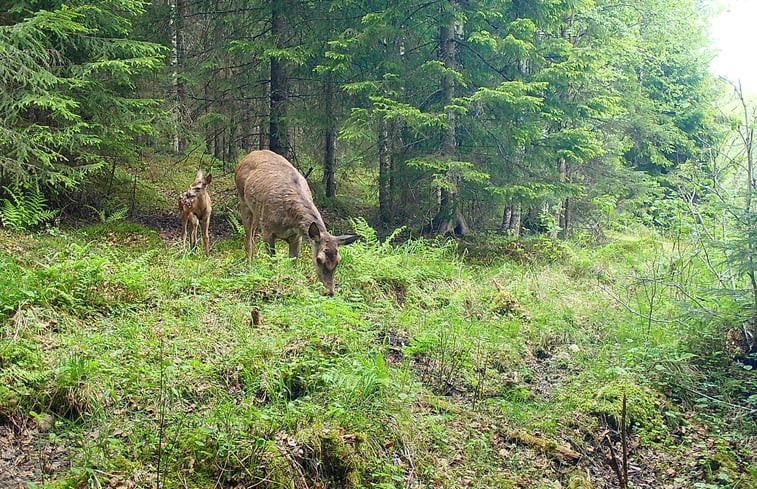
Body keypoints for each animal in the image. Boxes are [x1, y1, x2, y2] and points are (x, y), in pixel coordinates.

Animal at [233, 150, 358, 294]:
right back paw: (249, 266)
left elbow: (294, 264)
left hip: (257, 213)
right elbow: (273, 261)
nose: (329, 292)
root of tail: (246, 157)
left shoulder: (297, 237)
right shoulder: (267, 230)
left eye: (339, 260)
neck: (289, 220)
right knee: (248, 238)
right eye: (318, 259)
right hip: (243, 201)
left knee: (252, 234)